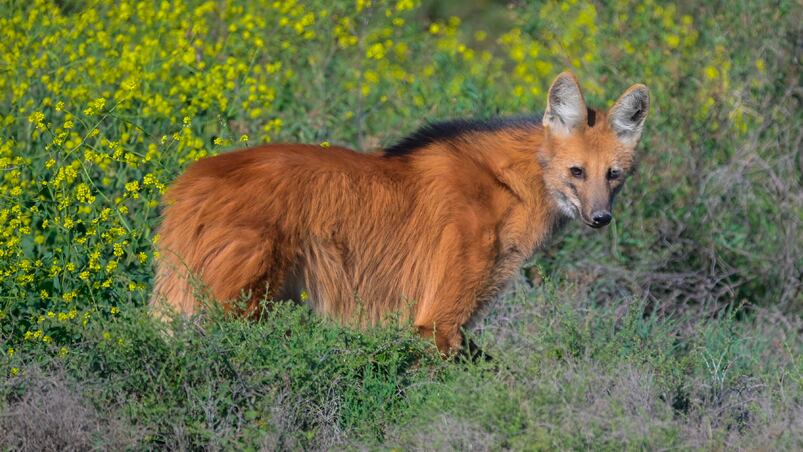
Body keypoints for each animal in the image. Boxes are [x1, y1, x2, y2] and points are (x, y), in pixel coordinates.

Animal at [152, 71, 652, 354]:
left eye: (613, 175)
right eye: (576, 171)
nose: (600, 218)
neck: (510, 183)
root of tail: (190, 180)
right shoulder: (437, 323)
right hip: (236, 305)